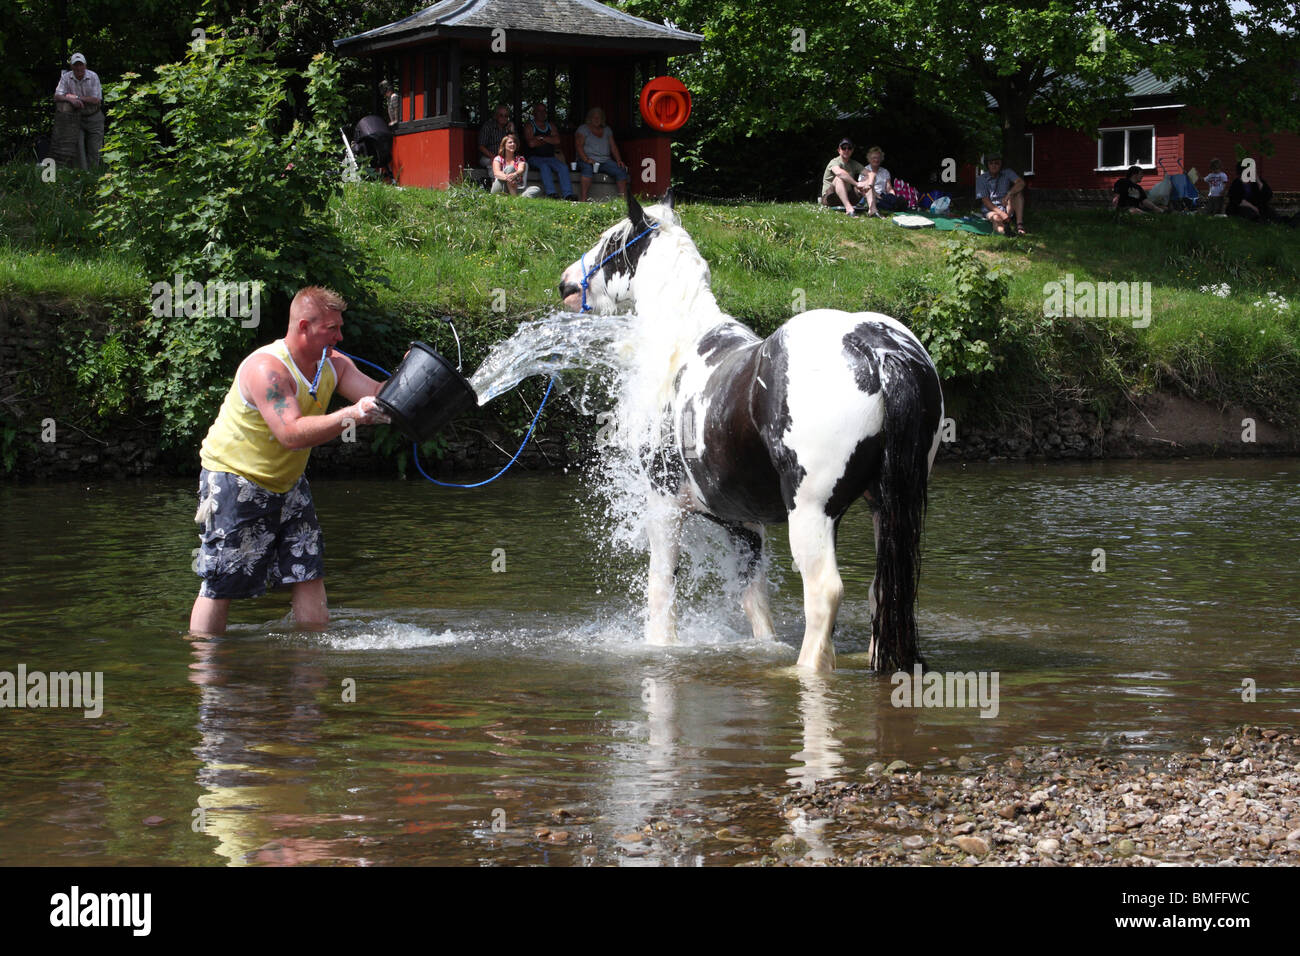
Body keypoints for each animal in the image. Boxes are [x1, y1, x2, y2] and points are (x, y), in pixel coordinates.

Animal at [559, 192, 946, 671]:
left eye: (611, 242)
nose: (566, 285)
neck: (679, 344)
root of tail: (876, 348)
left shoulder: (664, 505)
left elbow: (661, 593)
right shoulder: (744, 522)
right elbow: (754, 600)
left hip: (812, 513)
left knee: (825, 592)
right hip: (884, 506)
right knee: (883, 590)